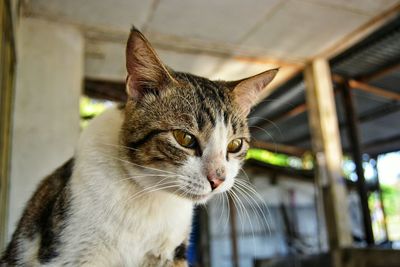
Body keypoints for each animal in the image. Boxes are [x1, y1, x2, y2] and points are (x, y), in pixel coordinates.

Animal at [2, 26, 278, 266]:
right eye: (184, 138)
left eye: (235, 145)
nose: (218, 179)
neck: (149, 197)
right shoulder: (69, 252)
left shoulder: (172, 253)